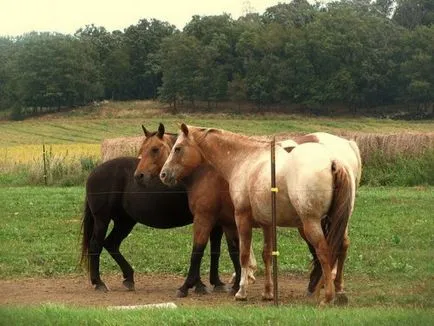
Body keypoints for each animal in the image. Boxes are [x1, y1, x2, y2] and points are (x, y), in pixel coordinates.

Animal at [80, 139, 227, 294]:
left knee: (111, 243)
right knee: (96, 245)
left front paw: (213, 283)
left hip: (125, 221)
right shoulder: (207, 219)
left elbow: (213, 251)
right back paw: (98, 282)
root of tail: (93, 173)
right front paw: (200, 284)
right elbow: (202, 250)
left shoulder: (215, 222)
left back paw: (129, 278)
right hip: (102, 219)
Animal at [159, 125, 356, 306]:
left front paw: (241, 292)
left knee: (324, 251)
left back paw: (328, 296)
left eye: (178, 148)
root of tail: (332, 161)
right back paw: (337, 292)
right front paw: (268, 293)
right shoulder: (267, 224)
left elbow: (244, 254)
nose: (163, 174)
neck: (245, 160)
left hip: (311, 223)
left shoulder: (241, 218)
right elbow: (266, 254)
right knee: (341, 247)